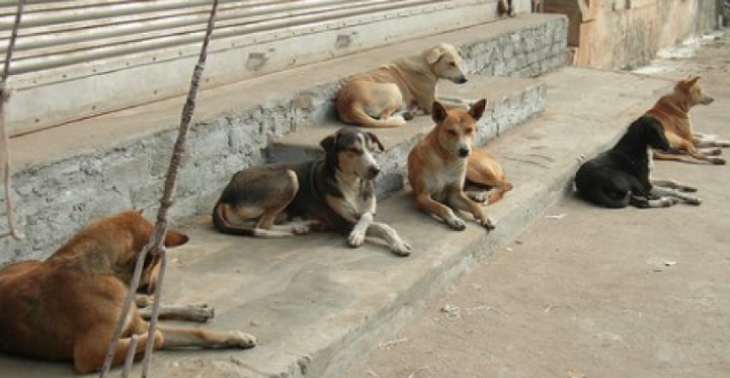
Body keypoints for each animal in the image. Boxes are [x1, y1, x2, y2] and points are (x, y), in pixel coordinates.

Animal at [0, 211, 256, 374]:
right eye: (157, 262)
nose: (153, 287)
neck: (104, 270)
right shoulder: (90, 354)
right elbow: (158, 335)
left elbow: (196, 334)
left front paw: (236, 336)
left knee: (145, 308)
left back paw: (194, 310)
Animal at [213, 127, 412, 256]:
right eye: (353, 150)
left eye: (372, 149)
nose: (376, 170)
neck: (352, 184)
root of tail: (225, 194)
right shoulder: (341, 221)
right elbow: (381, 226)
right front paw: (358, 235)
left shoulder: (368, 210)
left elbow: (369, 217)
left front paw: (393, 241)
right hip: (289, 175)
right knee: (262, 225)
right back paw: (300, 226)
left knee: (264, 223)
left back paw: (303, 225)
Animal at [334, 42, 466, 128]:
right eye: (451, 63)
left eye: (459, 62)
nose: (465, 79)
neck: (426, 65)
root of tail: (349, 103)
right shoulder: (429, 104)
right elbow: (462, 106)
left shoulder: (434, 97)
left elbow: (460, 100)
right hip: (394, 89)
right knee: (384, 118)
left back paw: (407, 113)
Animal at [404, 99, 494, 230]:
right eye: (451, 131)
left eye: (469, 130)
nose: (464, 151)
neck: (447, 160)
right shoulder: (422, 197)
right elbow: (443, 207)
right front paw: (454, 220)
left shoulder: (453, 195)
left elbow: (474, 205)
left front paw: (485, 217)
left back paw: (479, 195)